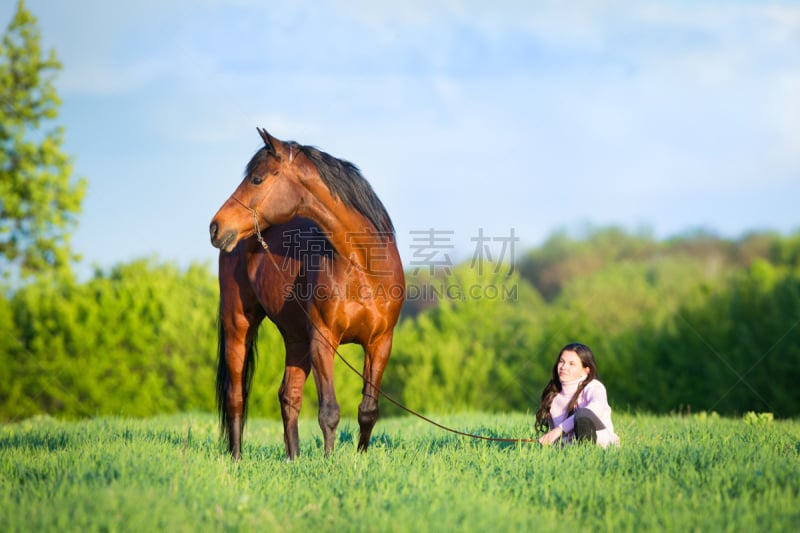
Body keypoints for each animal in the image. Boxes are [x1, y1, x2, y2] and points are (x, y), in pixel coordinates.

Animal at [209, 128, 406, 458]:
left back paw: (294, 459)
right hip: (238, 323)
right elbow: (329, 411)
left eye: (257, 179)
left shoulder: (380, 343)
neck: (363, 266)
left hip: (295, 337)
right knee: (236, 396)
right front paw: (329, 462)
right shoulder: (322, 340)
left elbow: (368, 410)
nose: (215, 227)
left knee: (288, 396)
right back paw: (236, 459)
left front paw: (360, 459)